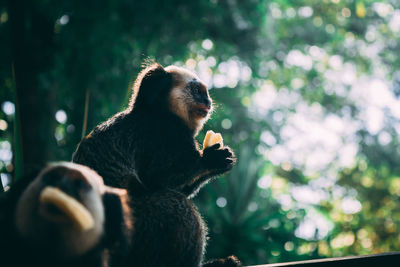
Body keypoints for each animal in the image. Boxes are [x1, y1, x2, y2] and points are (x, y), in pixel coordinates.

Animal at [72, 63, 241, 267]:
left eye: (206, 94)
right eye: (197, 91)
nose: (208, 101)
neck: (161, 112)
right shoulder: (161, 134)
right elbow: (158, 180)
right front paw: (209, 159)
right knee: (176, 205)